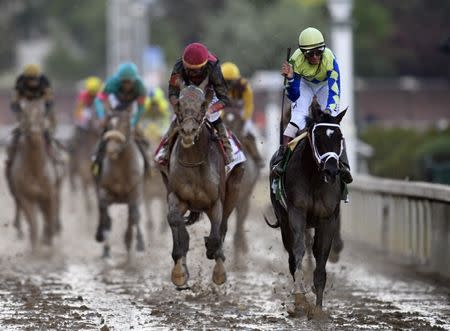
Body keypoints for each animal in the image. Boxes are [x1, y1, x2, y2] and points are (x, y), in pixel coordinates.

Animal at [94, 110, 145, 258]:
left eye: (126, 125)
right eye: (109, 125)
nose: (111, 150)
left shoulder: (135, 191)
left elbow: (134, 216)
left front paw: (134, 242)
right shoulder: (104, 191)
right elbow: (106, 216)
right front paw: (106, 248)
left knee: (134, 216)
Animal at [268, 98, 348, 320]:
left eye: (339, 137)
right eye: (318, 136)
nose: (331, 169)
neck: (314, 178)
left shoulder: (328, 218)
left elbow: (321, 256)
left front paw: (318, 309)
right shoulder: (296, 213)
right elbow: (298, 252)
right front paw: (299, 300)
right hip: (284, 221)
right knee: (292, 256)